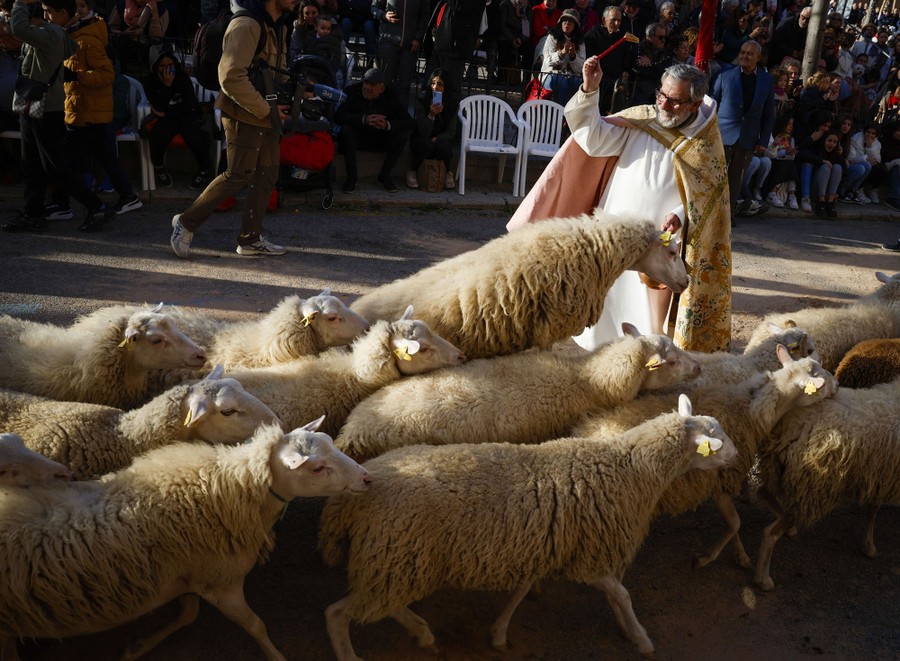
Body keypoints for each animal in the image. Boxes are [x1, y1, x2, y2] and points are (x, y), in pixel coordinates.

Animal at [0, 418, 371, 661]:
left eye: (330, 443)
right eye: (317, 468)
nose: (367, 479)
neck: (228, 488)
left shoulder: (189, 575)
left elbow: (188, 614)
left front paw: (138, 647)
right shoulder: (221, 584)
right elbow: (256, 626)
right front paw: (277, 656)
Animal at [319, 395, 737, 660]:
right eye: (716, 441)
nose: (736, 458)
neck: (627, 467)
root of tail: (357, 488)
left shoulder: (543, 542)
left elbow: (521, 590)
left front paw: (499, 632)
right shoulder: (589, 556)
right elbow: (621, 595)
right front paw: (640, 638)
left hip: (395, 561)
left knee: (384, 606)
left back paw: (421, 632)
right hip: (392, 558)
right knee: (339, 613)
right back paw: (359, 651)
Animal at [572, 346, 839, 569]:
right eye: (821, 381)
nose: (837, 385)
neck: (749, 411)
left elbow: (734, 524)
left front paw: (740, 555)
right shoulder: (720, 481)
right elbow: (735, 523)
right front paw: (709, 557)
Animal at [753, 379, 900, 591]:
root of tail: (789, 424)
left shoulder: (880, 475)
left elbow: (873, 508)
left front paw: (868, 545)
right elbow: (875, 508)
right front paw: (870, 546)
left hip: (779, 472)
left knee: (764, 494)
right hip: (808, 487)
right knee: (769, 534)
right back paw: (763, 579)